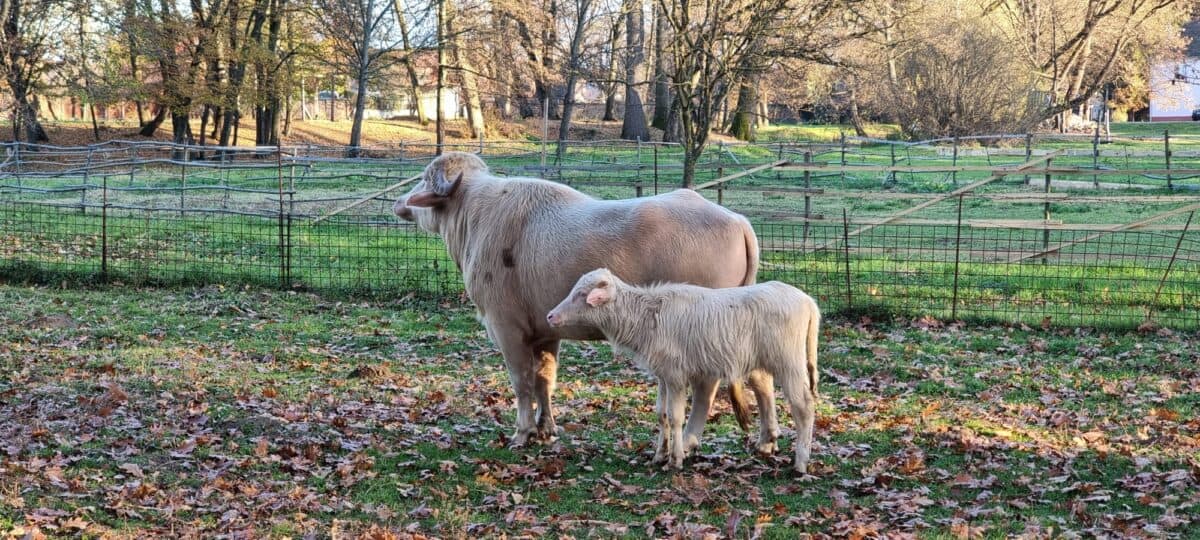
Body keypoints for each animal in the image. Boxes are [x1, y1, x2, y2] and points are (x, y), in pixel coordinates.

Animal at [396, 153, 768, 446]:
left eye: (424, 178)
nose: (399, 202)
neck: (476, 215)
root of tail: (737, 221)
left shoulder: (507, 328)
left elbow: (522, 382)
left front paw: (522, 432)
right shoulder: (545, 332)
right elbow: (545, 380)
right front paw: (547, 428)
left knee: (706, 387)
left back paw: (688, 440)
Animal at [549, 270, 820, 472]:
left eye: (582, 294)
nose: (550, 316)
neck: (647, 316)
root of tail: (808, 302)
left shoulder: (676, 376)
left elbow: (676, 416)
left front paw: (675, 460)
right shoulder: (663, 375)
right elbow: (661, 413)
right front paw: (659, 455)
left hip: (789, 362)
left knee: (804, 406)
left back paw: (801, 462)